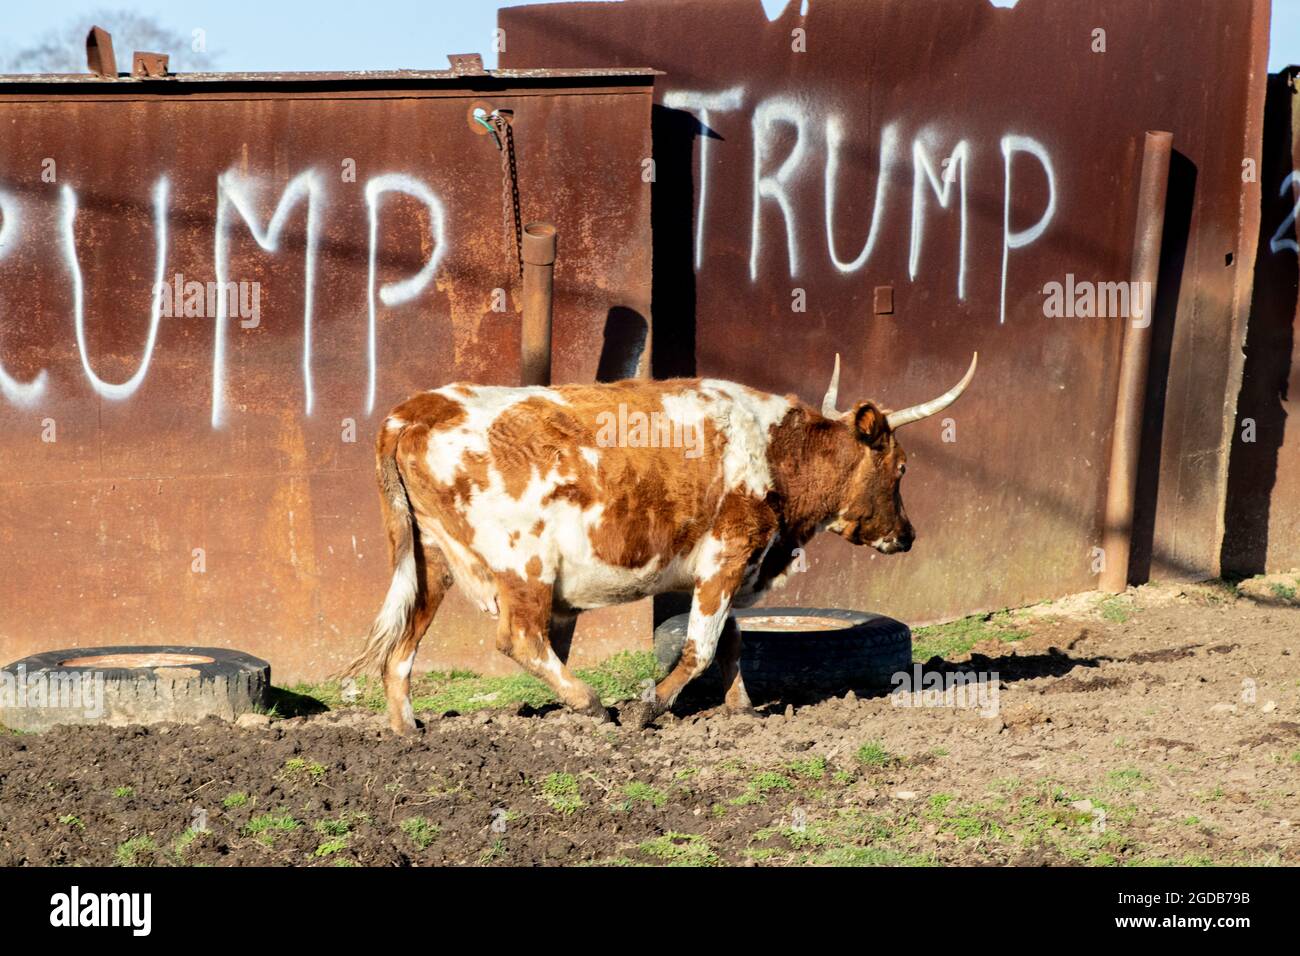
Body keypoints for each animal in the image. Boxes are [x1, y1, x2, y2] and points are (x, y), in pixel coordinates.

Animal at [343, 353, 977, 733]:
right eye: (900, 467)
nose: (907, 535)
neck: (777, 451)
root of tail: (414, 410)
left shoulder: (724, 564)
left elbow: (732, 642)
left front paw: (742, 709)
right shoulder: (729, 552)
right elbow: (701, 646)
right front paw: (652, 705)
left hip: (430, 561)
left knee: (401, 649)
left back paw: (407, 728)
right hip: (525, 566)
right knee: (519, 638)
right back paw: (591, 703)